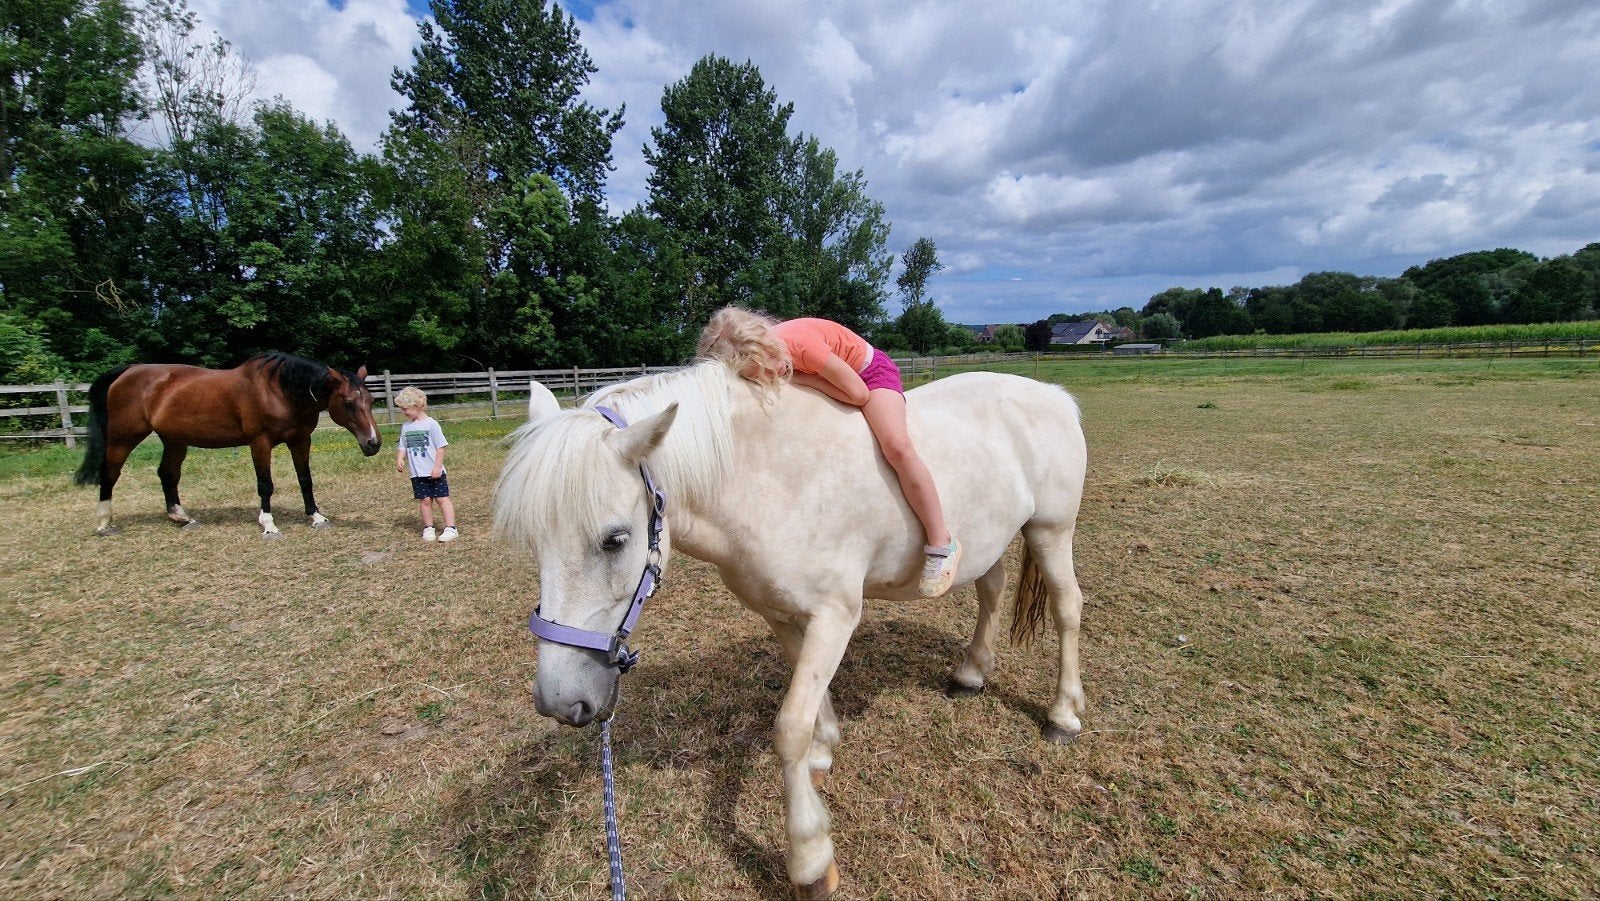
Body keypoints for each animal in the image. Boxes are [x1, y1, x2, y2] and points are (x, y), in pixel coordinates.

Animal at [73, 352, 382, 538]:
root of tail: (127, 372)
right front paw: (268, 524)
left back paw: (181, 518)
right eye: (349, 403)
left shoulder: (300, 440)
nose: (373, 443)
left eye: (369, 400)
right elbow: (265, 484)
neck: (279, 391)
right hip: (123, 438)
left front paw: (317, 517)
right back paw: (104, 523)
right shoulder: (260, 443)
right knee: (110, 474)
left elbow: (305, 479)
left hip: (174, 440)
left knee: (167, 474)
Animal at [494, 360, 1088, 898]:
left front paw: (810, 860)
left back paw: (1062, 714)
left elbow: (788, 728)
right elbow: (809, 703)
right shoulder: (780, 614)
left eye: (616, 539)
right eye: (533, 542)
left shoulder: (836, 615)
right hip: (992, 537)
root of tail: (1056, 395)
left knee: (1068, 609)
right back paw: (971, 673)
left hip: (1050, 530)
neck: (768, 478)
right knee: (992, 592)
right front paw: (824, 752)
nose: (560, 701)